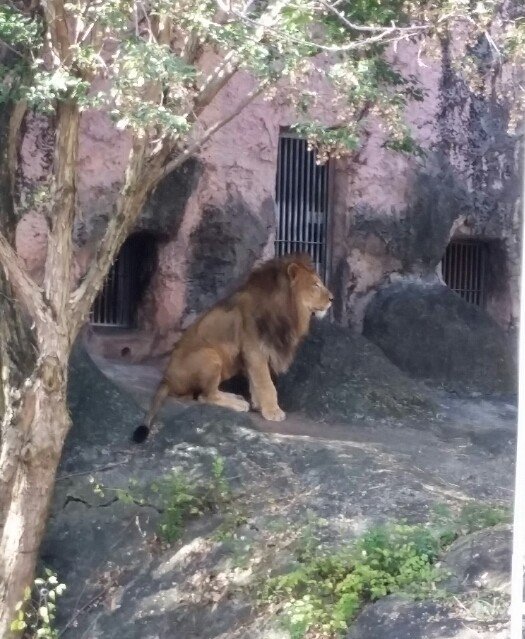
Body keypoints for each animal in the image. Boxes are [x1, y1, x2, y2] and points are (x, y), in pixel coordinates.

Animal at [133, 252, 334, 442]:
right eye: (315, 284)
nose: (332, 298)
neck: (284, 311)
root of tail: (166, 378)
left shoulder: (253, 353)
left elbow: (255, 381)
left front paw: (259, 405)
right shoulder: (255, 349)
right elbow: (266, 383)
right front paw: (272, 411)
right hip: (211, 355)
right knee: (205, 396)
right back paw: (238, 403)